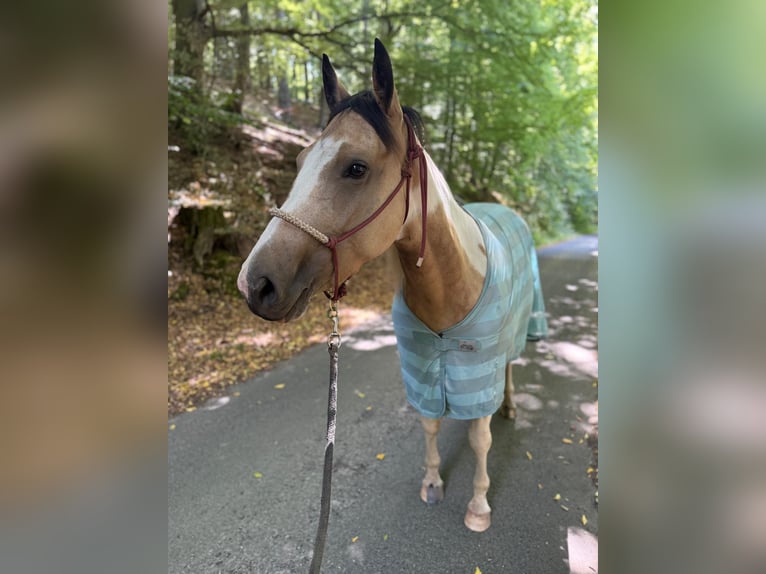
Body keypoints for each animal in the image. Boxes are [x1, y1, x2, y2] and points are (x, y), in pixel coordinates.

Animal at [238, 39, 547, 532]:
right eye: (302, 161)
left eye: (356, 167)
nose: (255, 284)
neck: (450, 288)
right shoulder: (422, 371)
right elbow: (430, 424)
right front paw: (432, 482)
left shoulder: (478, 370)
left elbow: (480, 438)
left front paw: (478, 506)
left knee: (511, 369)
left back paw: (512, 405)